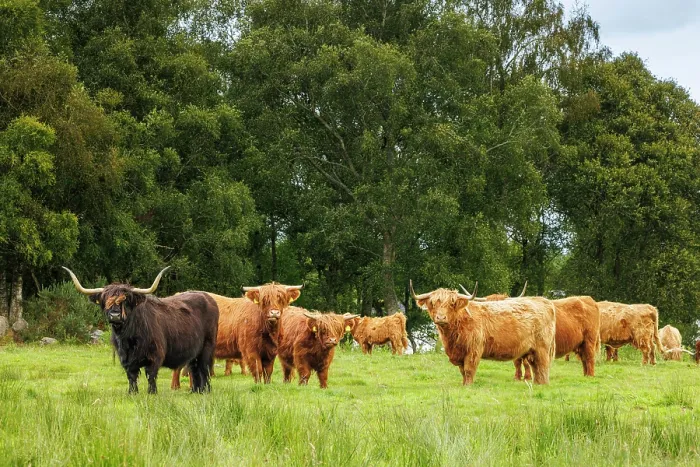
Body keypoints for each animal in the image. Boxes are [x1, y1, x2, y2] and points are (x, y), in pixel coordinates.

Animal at [63, 267, 219, 394]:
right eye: (106, 300)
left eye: (126, 300)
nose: (115, 315)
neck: (128, 338)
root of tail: (208, 297)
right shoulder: (125, 358)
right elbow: (131, 376)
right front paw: (132, 393)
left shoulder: (155, 355)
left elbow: (151, 375)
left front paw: (152, 392)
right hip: (194, 351)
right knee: (194, 368)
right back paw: (195, 391)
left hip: (207, 347)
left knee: (203, 368)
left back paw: (205, 391)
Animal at [170, 283, 303, 387]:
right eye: (264, 300)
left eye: (281, 299)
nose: (274, 313)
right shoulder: (250, 350)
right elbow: (258, 370)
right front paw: (258, 385)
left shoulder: (270, 352)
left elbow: (268, 372)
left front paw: (267, 385)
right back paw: (176, 386)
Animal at [411, 281, 556, 385]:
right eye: (432, 303)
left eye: (452, 304)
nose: (441, 318)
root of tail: (544, 301)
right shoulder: (459, 352)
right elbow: (462, 371)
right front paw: (463, 384)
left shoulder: (473, 350)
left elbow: (469, 370)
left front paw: (468, 386)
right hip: (532, 351)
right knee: (536, 367)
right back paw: (537, 383)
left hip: (542, 348)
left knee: (543, 367)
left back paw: (542, 384)